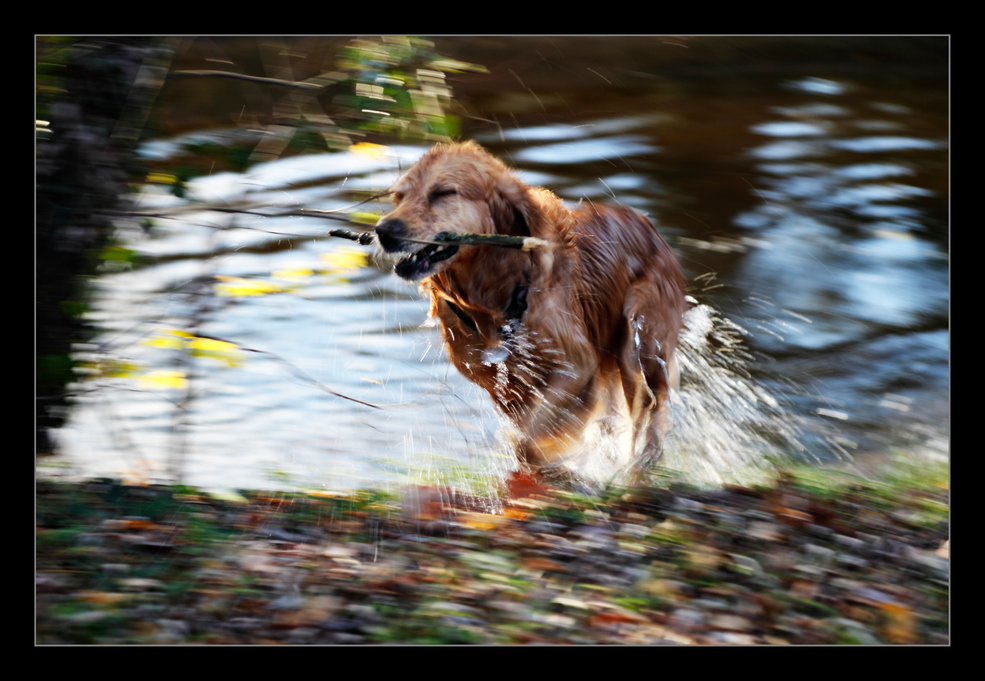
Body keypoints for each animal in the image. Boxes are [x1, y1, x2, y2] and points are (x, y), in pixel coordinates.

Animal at [376, 141, 684, 476]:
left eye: (443, 193)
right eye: (399, 196)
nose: (383, 230)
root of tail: (649, 226)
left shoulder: (577, 367)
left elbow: (533, 440)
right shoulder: (500, 382)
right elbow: (526, 435)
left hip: (637, 342)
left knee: (651, 412)